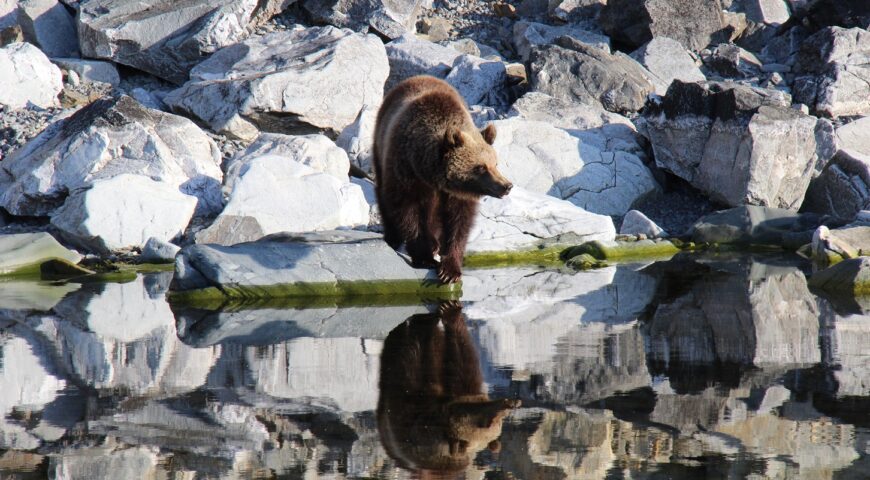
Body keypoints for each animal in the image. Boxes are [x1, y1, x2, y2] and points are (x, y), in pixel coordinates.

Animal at [373, 76, 513, 284]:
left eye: (495, 163)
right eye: (481, 167)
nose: (506, 186)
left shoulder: (458, 193)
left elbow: (459, 221)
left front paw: (450, 269)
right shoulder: (405, 169)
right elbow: (407, 210)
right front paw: (424, 257)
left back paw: (435, 243)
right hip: (380, 144)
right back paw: (394, 237)